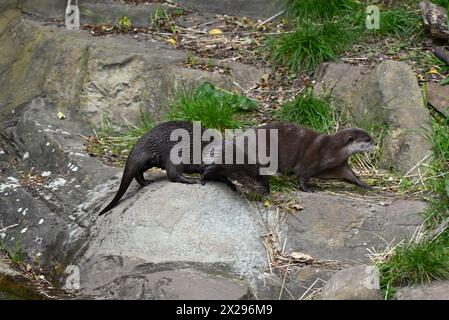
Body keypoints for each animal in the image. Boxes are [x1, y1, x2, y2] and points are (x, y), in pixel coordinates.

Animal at [98, 121, 268, 216]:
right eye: (260, 180)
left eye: (267, 180)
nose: (268, 191)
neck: (230, 157)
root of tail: (141, 143)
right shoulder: (214, 163)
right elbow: (207, 173)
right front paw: (202, 180)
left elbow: (222, 177)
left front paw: (231, 185)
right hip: (175, 154)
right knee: (173, 174)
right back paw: (190, 180)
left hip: (150, 161)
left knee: (138, 172)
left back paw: (145, 183)